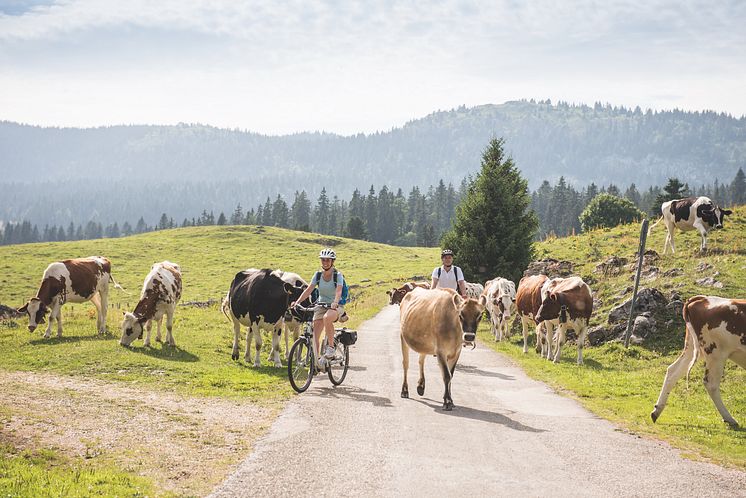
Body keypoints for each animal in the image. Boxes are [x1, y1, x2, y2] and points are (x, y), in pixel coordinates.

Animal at [648, 296, 740, 428]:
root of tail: (702, 298)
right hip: (716, 353)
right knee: (711, 384)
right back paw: (729, 419)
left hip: (692, 347)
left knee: (673, 370)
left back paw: (656, 411)